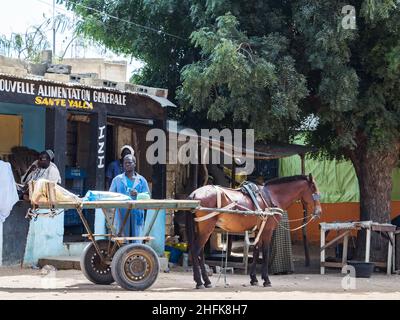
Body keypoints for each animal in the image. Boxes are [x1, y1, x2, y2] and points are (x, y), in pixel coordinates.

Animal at [185, 174, 322, 288]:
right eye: (314, 191)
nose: (319, 212)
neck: (271, 197)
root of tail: (194, 195)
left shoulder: (258, 230)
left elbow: (256, 251)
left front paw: (254, 279)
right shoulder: (267, 230)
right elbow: (265, 252)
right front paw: (266, 280)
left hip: (201, 229)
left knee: (200, 253)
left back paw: (205, 281)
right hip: (206, 229)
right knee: (195, 251)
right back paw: (200, 282)